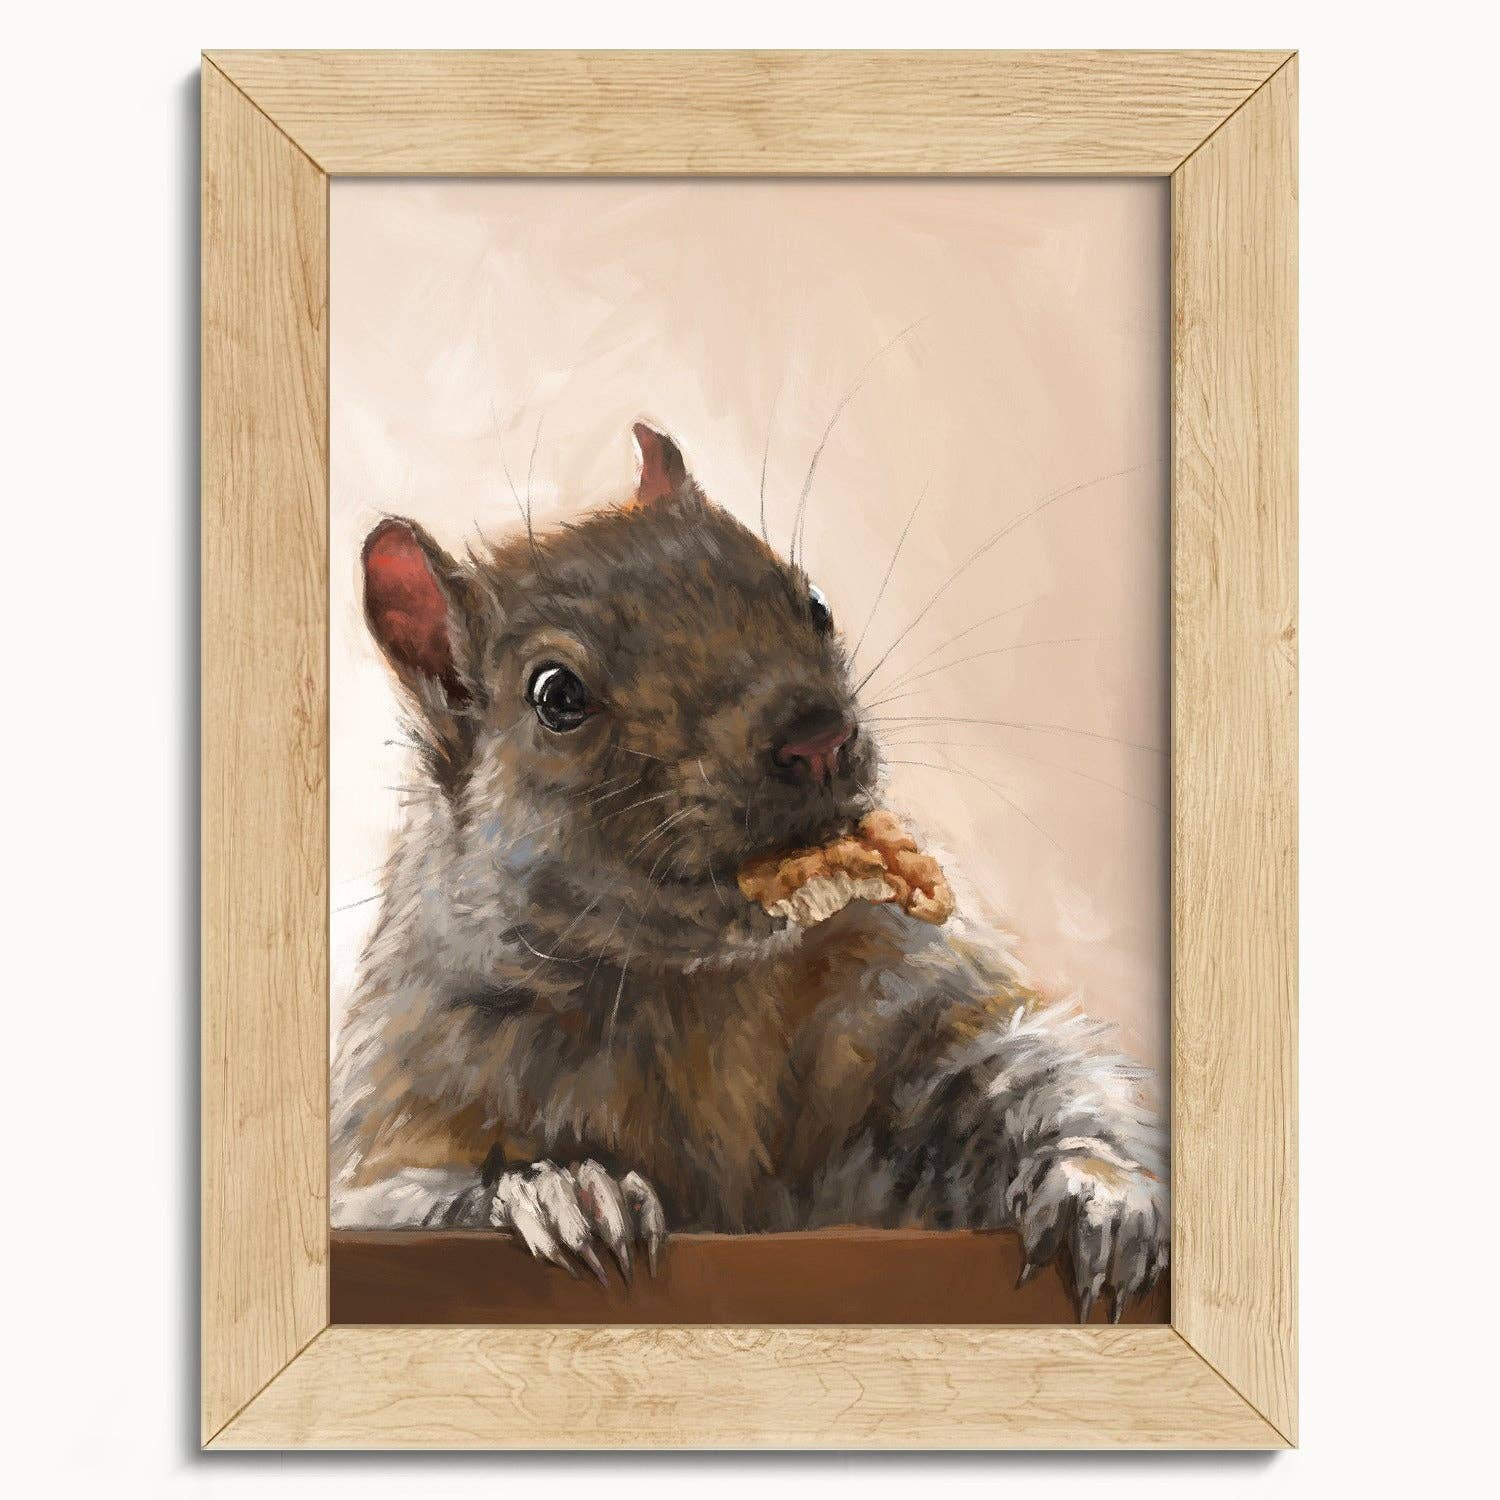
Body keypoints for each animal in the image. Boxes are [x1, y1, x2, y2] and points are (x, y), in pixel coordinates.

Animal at [331, 421, 1168, 1320]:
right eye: (556, 695)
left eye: (816, 603)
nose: (818, 736)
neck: (698, 985)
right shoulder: (404, 1096)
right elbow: (389, 1195)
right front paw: (560, 1191)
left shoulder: (896, 994)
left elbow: (1017, 1063)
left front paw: (1100, 1188)